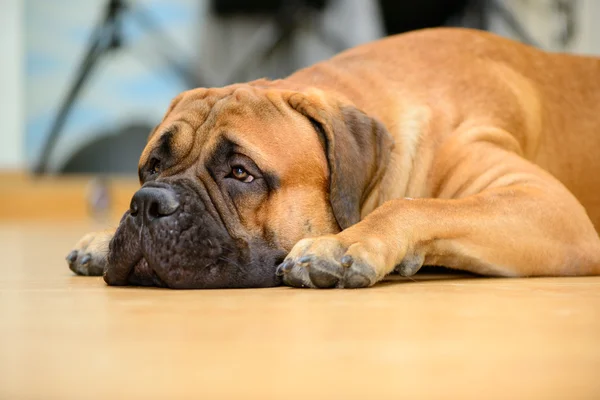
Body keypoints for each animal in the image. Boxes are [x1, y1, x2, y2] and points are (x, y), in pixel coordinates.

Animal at [65, 28, 600, 290]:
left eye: (240, 173)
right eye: (152, 167)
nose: (147, 203)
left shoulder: (549, 206)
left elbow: (414, 205)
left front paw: (340, 245)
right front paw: (101, 238)